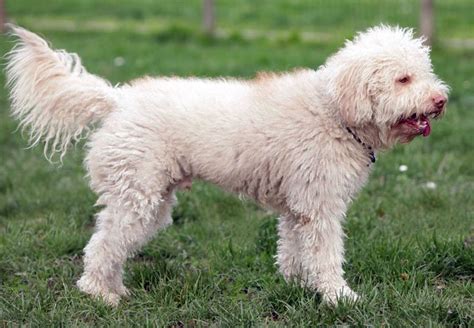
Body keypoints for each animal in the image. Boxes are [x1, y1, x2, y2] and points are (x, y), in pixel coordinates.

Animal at [4, 25, 448, 304]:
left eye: (424, 73)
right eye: (403, 79)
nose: (441, 99)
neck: (334, 110)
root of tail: (116, 99)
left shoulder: (298, 208)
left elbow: (293, 252)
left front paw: (297, 287)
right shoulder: (321, 207)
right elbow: (325, 256)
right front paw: (339, 297)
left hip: (149, 201)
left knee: (111, 243)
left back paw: (114, 290)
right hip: (138, 198)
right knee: (103, 245)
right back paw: (99, 295)